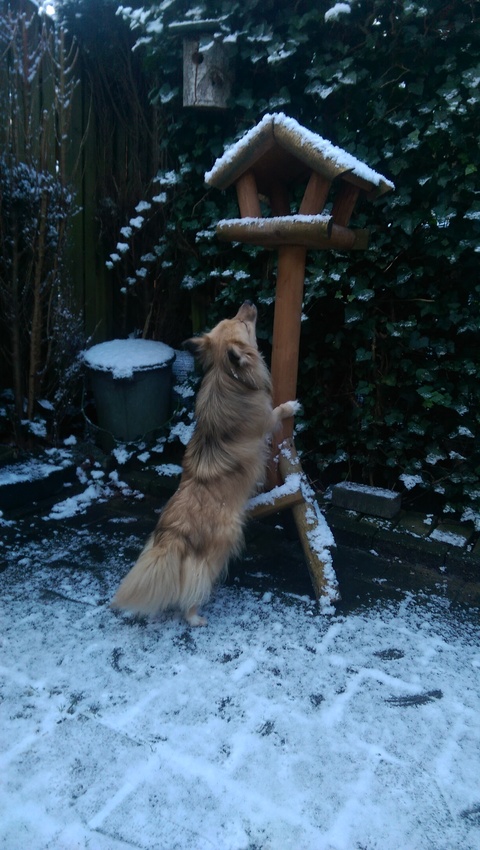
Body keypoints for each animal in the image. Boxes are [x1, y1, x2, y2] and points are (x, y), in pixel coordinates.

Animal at [111, 301, 299, 626]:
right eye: (243, 324)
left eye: (232, 317)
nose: (249, 303)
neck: (228, 376)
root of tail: (175, 534)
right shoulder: (265, 422)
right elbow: (276, 412)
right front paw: (291, 406)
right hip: (222, 546)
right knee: (195, 584)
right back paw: (195, 616)